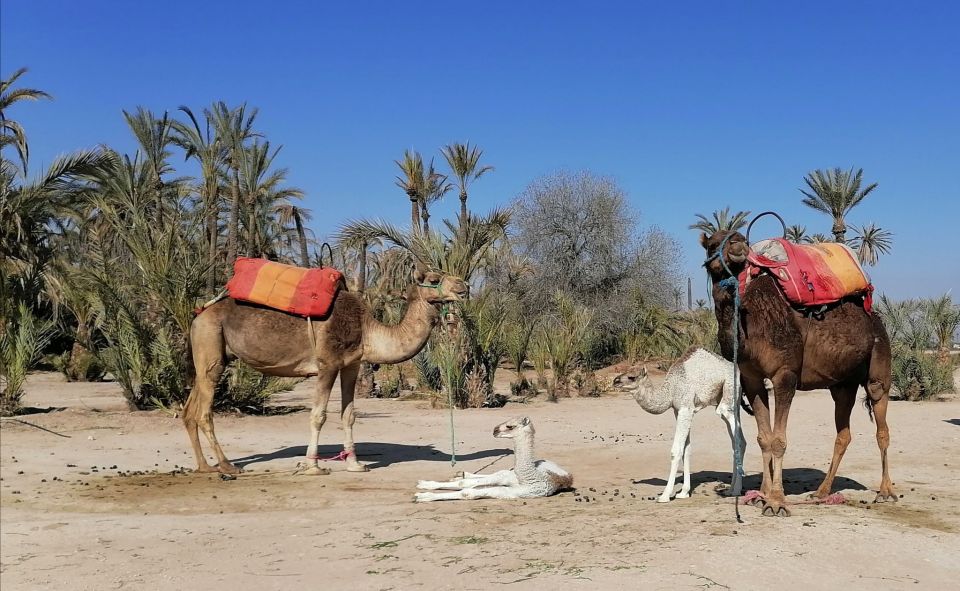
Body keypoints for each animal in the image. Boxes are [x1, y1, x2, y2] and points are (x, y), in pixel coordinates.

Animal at [184, 268, 468, 476]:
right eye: (434, 279)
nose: (463, 285)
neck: (367, 330)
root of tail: (199, 314)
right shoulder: (327, 364)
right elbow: (318, 416)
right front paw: (313, 466)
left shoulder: (352, 364)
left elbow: (349, 415)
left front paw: (355, 464)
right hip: (210, 341)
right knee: (205, 412)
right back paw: (227, 465)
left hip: (211, 352)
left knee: (189, 410)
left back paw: (204, 466)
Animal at [412, 416, 568, 504]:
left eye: (510, 426)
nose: (494, 430)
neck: (531, 477)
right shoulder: (510, 481)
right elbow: (466, 485)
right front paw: (424, 488)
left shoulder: (513, 493)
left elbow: (467, 492)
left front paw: (422, 497)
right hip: (508, 475)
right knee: (494, 474)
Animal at [616, 350, 752, 506]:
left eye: (631, 377)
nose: (615, 381)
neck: (671, 390)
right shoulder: (678, 410)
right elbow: (686, 449)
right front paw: (684, 492)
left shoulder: (685, 409)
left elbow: (676, 451)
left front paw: (665, 495)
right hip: (729, 400)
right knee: (737, 441)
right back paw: (730, 490)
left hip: (728, 393)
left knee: (738, 439)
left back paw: (736, 490)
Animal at [696, 231, 892, 520]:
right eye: (712, 244)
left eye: (741, 237)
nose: (738, 244)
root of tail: (876, 319)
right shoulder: (751, 379)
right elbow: (763, 438)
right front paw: (761, 496)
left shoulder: (784, 374)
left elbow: (779, 440)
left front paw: (777, 502)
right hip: (843, 384)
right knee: (843, 433)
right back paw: (822, 492)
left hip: (879, 363)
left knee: (881, 425)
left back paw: (885, 492)